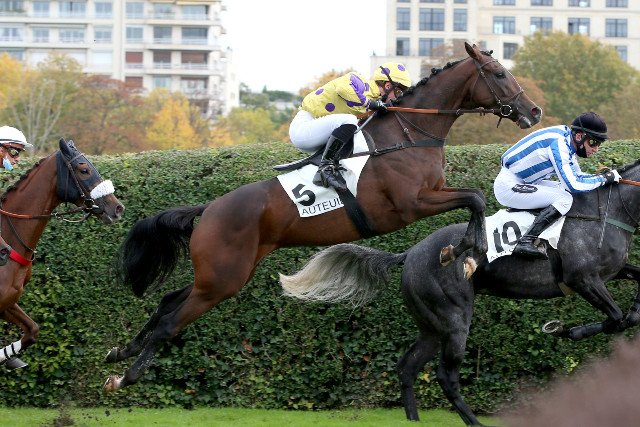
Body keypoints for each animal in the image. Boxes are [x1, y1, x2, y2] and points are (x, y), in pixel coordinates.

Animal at [102, 42, 542, 391]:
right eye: (499, 73)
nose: (533, 111)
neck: (409, 135)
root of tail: (208, 209)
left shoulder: (429, 195)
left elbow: (475, 198)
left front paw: (465, 250)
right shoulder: (411, 203)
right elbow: (475, 198)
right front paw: (467, 250)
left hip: (220, 274)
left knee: (168, 302)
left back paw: (120, 351)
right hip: (222, 280)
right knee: (170, 322)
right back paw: (126, 376)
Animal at [279, 159, 640, 426]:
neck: (605, 214)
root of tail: (410, 253)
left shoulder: (610, 272)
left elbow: (631, 302)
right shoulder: (583, 278)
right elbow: (615, 318)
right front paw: (564, 329)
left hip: (431, 326)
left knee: (408, 366)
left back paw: (413, 420)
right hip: (454, 320)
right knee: (445, 374)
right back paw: (474, 421)